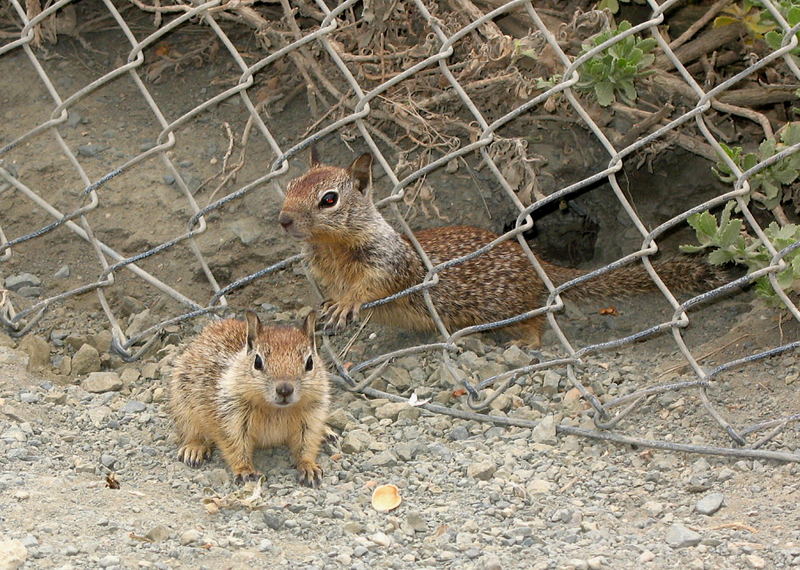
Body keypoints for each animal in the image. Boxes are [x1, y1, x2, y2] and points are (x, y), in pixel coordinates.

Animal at [169, 308, 332, 486]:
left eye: (310, 363)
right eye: (257, 362)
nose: (284, 389)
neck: (277, 410)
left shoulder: (311, 417)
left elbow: (307, 444)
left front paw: (309, 467)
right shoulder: (231, 418)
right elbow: (236, 446)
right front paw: (245, 470)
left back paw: (328, 432)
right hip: (184, 406)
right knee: (191, 432)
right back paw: (194, 448)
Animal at [278, 152, 720, 346]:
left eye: (329, 200)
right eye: (290, 187)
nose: (282, 220)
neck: (331, 249)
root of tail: (537, 262)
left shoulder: (386, 261)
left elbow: (372, 285)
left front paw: (346, 303)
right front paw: (322, 305)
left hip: (503, 309)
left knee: (537, 322)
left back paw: (526, 342)